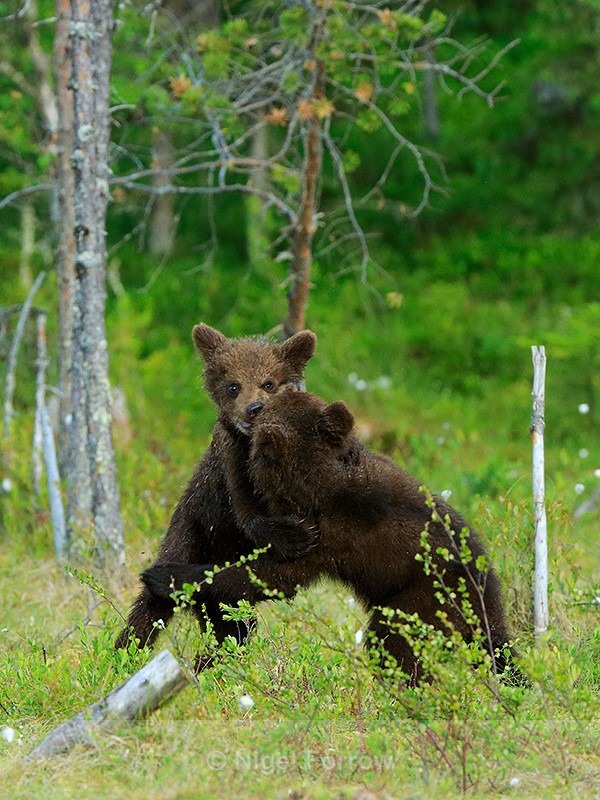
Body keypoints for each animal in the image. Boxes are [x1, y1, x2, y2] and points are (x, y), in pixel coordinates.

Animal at [115, 325, 318, 652]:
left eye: (269, 383)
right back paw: (127, 650)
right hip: (189, 538)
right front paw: (296, 535)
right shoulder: (229, 467)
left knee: (233, 626)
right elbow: (249, 515)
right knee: (152, 607)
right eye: (233, 386)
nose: (253, 409)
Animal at [142, 388, 522, 684]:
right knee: (497, 650)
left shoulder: (329, 536)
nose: (253, 405)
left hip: (424, 597)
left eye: (267, 403)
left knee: (392, 643)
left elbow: (271, 576)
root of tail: (485, 592)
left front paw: (163, 575)